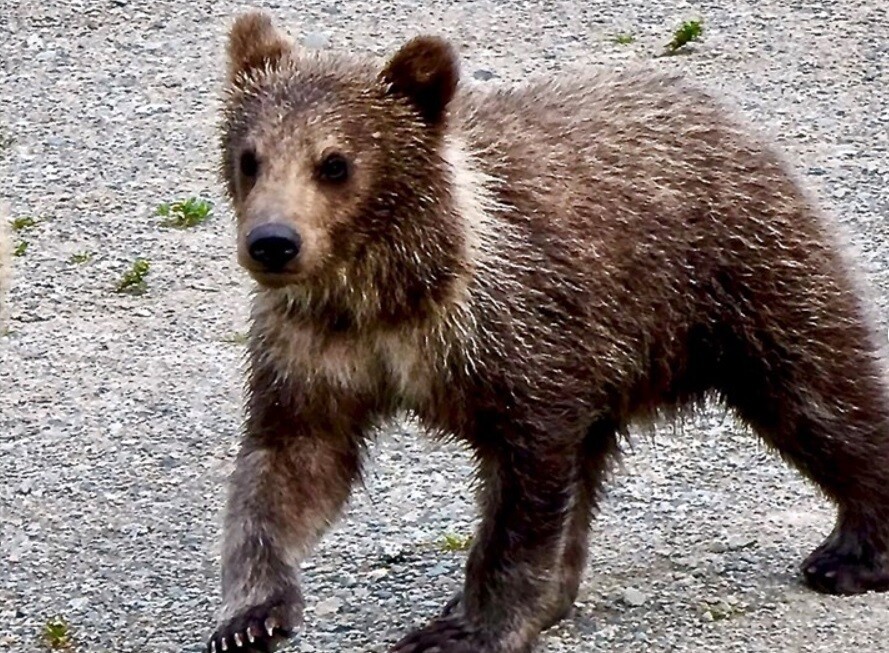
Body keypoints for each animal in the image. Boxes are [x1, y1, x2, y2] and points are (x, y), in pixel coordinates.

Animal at [205, 10, 888, 652]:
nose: (273, 242)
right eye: (251, 157)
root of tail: (722, 111)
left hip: (745, 278)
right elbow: (290, 467)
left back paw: (853, 551)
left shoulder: (519, 339)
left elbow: (523, 499)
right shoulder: (316, 349)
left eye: (335, 163)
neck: (387, 296)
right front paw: (251, 615)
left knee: (820, 398)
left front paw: (470, 627)